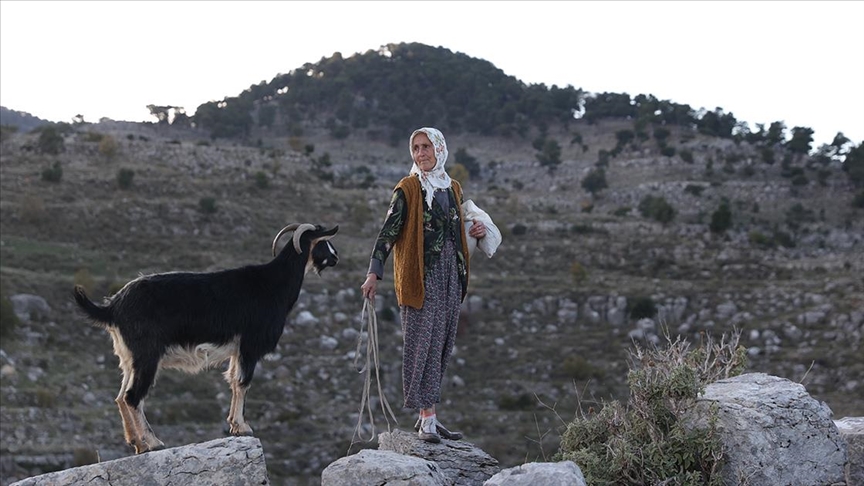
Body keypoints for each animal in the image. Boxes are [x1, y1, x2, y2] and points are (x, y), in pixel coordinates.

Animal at [72, 222, 340, 454]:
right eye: (323, 241)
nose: (336, 258)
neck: (273, 284)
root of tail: (113, 307)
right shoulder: (250, 345)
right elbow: (243, 382)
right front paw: (243, 427)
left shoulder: (237, 349)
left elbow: (233, 380)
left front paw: (234, 424)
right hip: (147, 356)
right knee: (132, 396)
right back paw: (153, 442)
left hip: (129, 357)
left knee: (121, 396)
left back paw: (138, 443)